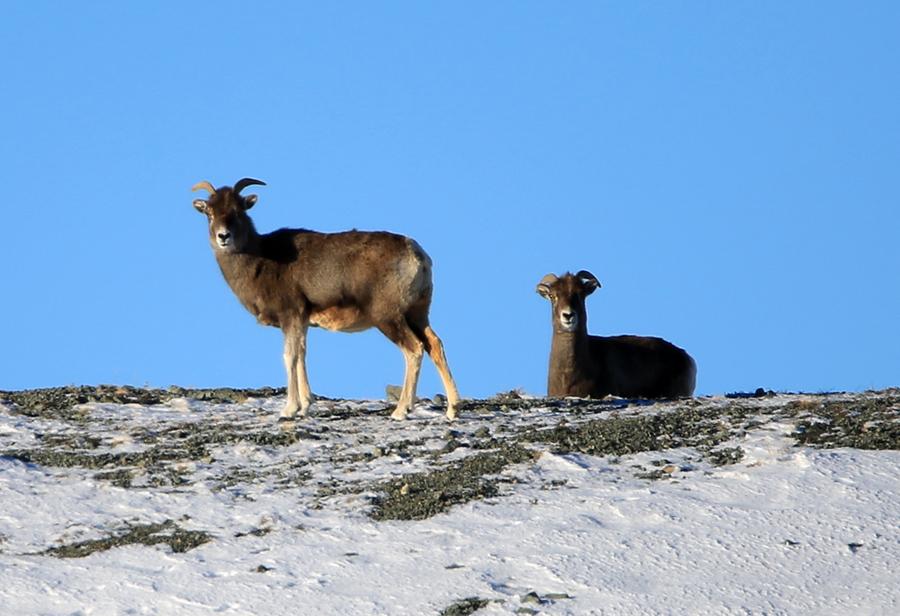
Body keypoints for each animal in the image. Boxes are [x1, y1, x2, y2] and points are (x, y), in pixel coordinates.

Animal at [190, 177, 458, 418]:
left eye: (238, 211)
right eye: (210, 213)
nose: (223, 237)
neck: (260, 261)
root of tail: (416, 254)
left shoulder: (291, 316)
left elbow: (290, 357)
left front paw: (289, 410)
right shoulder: (302, 322)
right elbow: (302, 355)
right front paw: (305, 406)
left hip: (388, 318)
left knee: (414, 350)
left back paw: (401, 411)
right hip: (417, 314)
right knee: (435, 345)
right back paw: (452, 410)